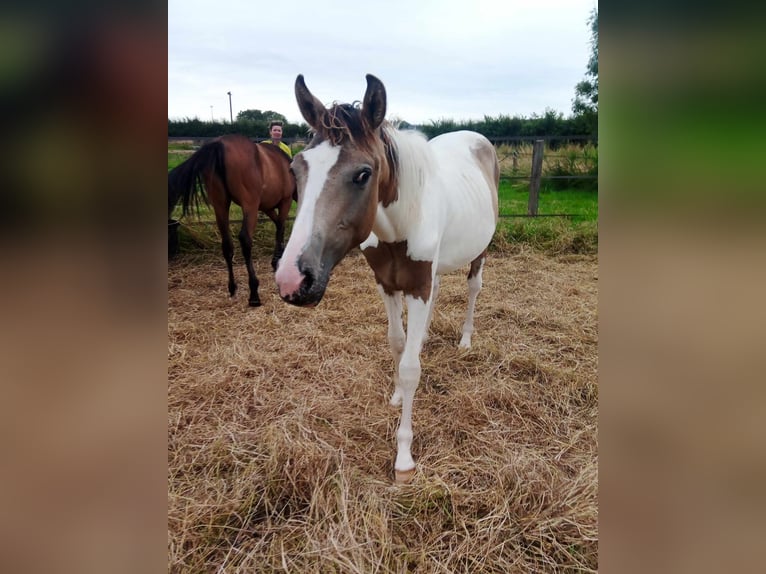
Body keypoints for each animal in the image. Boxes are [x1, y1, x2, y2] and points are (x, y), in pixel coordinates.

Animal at [170, 136, 296, 308]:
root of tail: (219, 145)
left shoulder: (266, 207)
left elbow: (278, 225)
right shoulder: (284, 202)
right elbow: (280, 227)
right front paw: (277, 258)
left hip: (221, 205)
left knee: (227, 244)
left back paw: (232, 287)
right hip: (249, 205)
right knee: (245, 240)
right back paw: (254, 293)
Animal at [276, 74, 504, 484]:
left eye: (363, 174)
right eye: (296, 169)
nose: (292, 280)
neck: (401, 222)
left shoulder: (417, 286)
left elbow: (411, 369)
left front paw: (404, 458)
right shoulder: (387, 284)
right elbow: (398, 345)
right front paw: (397, 394)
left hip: (478, 252)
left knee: (473, 288)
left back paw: (465, 340)